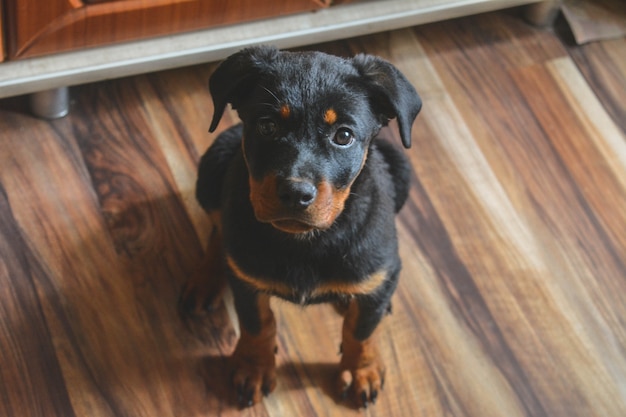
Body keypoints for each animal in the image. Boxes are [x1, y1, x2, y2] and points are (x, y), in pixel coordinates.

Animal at [178, 45, 422, 406]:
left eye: (344, 136)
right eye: (266, 126)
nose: (295, 193)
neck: (309, 240)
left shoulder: (379, 264)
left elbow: (361, 330)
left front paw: (360, 369)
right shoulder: (247, 279)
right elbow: (257, 323)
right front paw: (253, 367)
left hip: (400, 166)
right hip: (213, 165)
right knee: (218, 230)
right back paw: (205, 279)